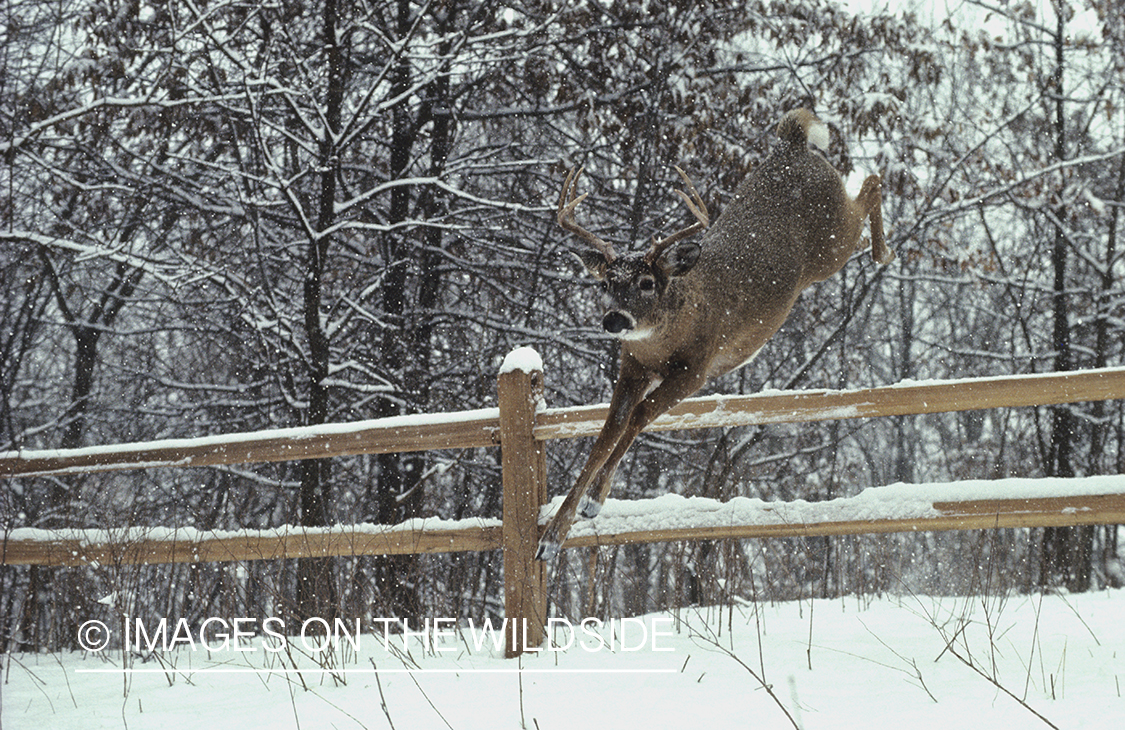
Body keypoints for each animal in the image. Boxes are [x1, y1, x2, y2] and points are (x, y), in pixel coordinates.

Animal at [535, 106, 895, 557]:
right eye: (606, 283)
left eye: (647, 282)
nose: (614, 320)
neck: (665, 338)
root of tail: (793, 144)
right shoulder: (631, 366)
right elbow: (609, 430)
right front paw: (552, 536)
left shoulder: (696, 369)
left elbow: (640, 417)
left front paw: (594, 503)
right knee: (866, 196)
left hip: (832, 245)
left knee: (872, 182)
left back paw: (885, 252)